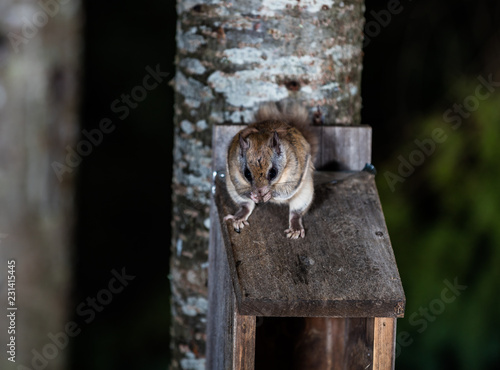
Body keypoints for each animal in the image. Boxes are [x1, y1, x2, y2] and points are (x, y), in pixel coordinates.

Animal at [225, 102, 318, 238]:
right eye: (247, 174)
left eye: (273, 172)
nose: (259, 191)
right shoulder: (234, 170)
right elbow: (241, 189)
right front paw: (252, 195)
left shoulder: (294, 171)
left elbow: (287, 190)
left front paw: (270, 194)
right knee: (246, 205)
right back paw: (239, 218)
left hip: (305, 193)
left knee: (296, 212)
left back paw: (295, 228)